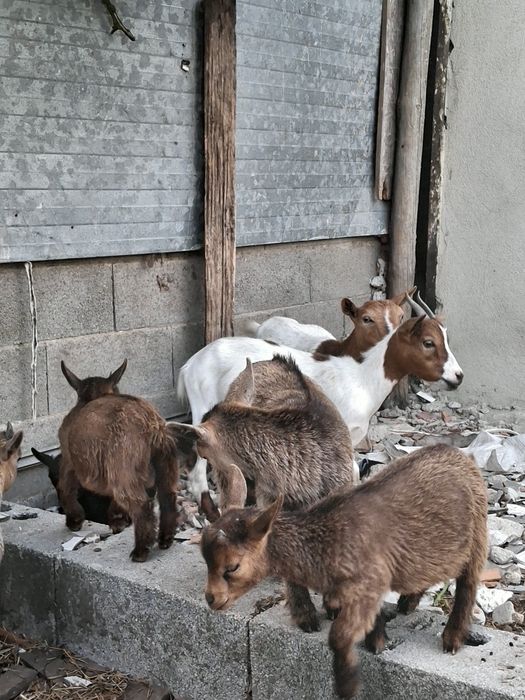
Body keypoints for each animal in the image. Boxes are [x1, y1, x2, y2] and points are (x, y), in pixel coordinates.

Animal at [58, 394, 183, 562]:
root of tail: (152, 423)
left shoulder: (70, 460)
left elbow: (65, 488)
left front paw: (74, 519)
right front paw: (118, 521)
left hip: (126, 468)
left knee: (142, 507)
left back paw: (141, 550)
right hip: (165, 466)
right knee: (167, 499)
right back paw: (165, 538)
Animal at [178, 299, 463, 500]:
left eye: (446, 338)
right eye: (428, 342)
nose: (457, 376)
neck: (362, 378)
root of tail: (190, 364)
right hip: (203, 406)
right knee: (197, 469)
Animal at [200, 444, 488, 698]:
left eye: (232, 567)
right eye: (206, 561)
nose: (211, 599)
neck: (325, 541)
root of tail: (460, 455)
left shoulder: (370, 579)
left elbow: (338, 636)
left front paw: (347, 684)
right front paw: (377, 641)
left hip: (478, 530)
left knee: (468, 582)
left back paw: (452, 638)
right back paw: (408, 603)